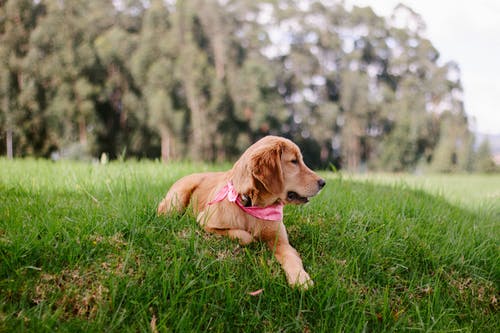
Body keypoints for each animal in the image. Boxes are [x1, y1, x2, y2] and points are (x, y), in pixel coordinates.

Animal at [158, 135, 326, 288]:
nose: (323, 182)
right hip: (178, 199)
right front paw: (252, 239)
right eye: (294, 161)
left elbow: (292, 257)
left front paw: (301, 279)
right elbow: (244, 236)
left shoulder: (280, 241)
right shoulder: (205, 221)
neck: (252, 206)